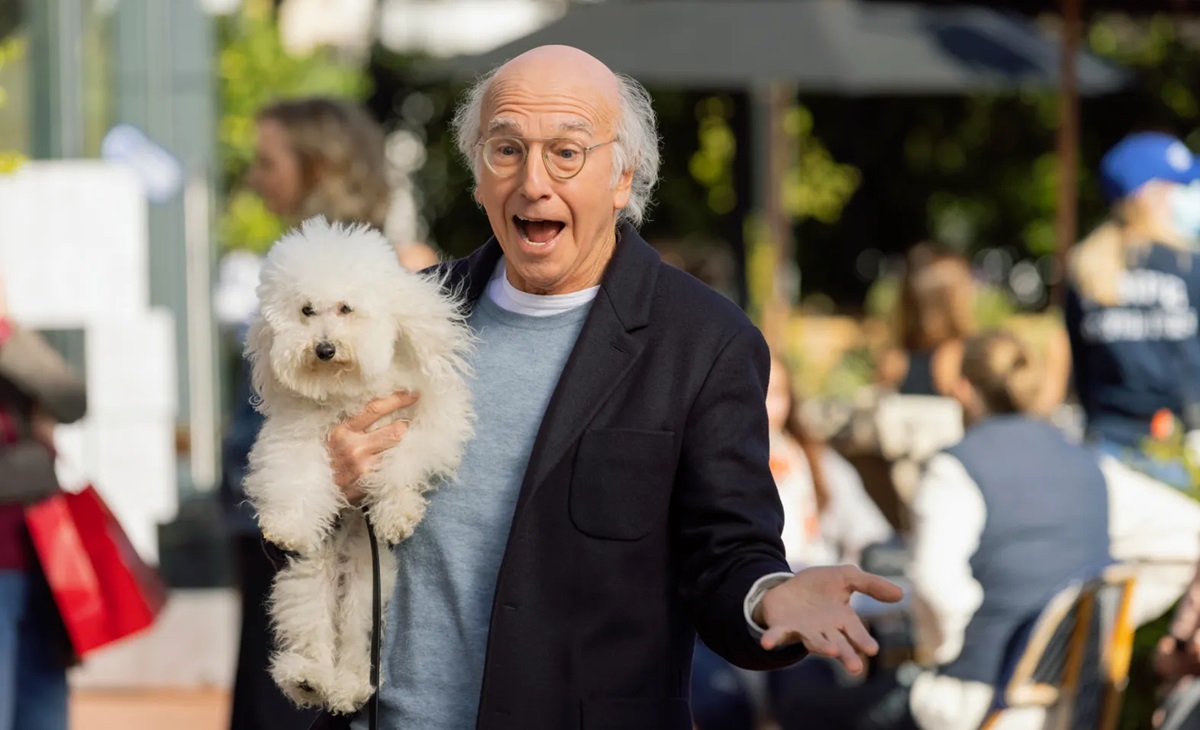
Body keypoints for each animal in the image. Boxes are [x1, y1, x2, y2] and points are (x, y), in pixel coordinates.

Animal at [242, 216, 472, 710]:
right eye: (306, 310)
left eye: (346, 308)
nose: (324, 348)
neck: (346, 391)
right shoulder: (294, 437)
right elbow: (297, 478)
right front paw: (288, 525)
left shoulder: (429, 417)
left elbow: (403, 460)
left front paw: (394, 512)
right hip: (308, 576)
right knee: (311, 627)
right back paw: (309, 678)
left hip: (368, 586)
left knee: (354, 638)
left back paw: (348, 685)